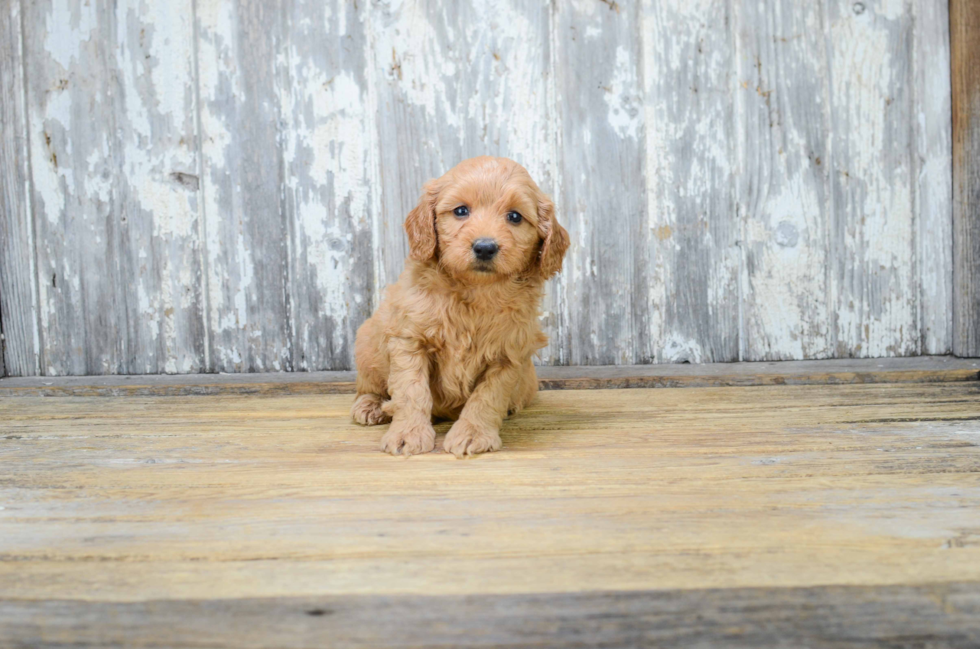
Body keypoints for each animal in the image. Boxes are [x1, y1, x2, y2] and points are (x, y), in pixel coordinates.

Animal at [352, 156, 572, 458]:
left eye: (515, 216)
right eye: (460, 211)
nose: (485, 247)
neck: (475, 290)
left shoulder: (509, 353)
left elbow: (487, 396)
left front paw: (472, 434)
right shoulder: (409, 340)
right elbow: (411, 390)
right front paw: (407, 434)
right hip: (368, 344)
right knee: (368, 386)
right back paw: (371, 405)